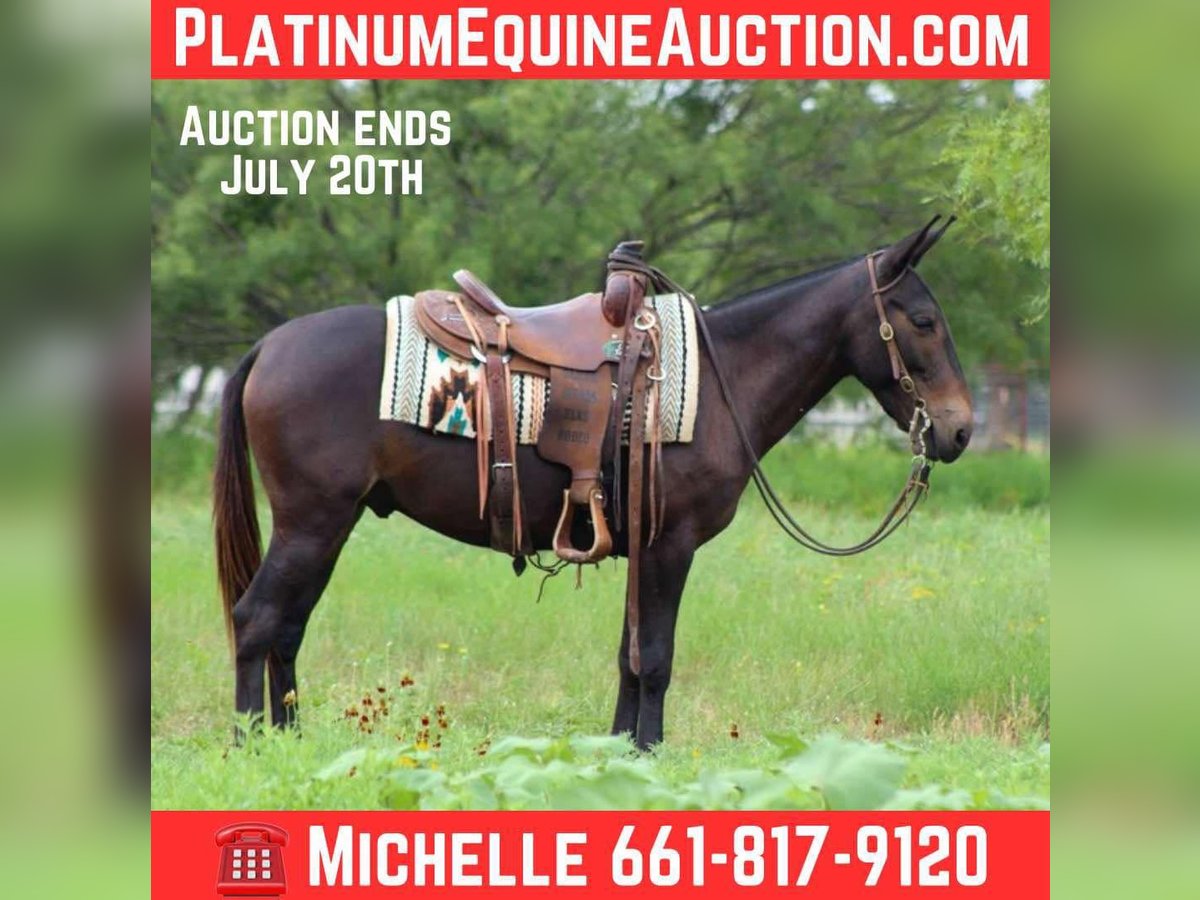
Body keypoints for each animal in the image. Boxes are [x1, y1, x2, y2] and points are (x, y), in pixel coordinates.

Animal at [213, 217, 973, 750]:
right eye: (924, 321)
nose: (961, 430)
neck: (721, 377)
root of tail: (270, 345)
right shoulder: (670, 545)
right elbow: (656, 657)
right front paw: (648, 755)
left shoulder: (643, 548)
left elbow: (628, 657)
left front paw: (617, 753)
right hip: (312, 522)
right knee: (257, 620)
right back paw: (251, 746)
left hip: (325, 526)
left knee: (286, 628)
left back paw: (289, 741)